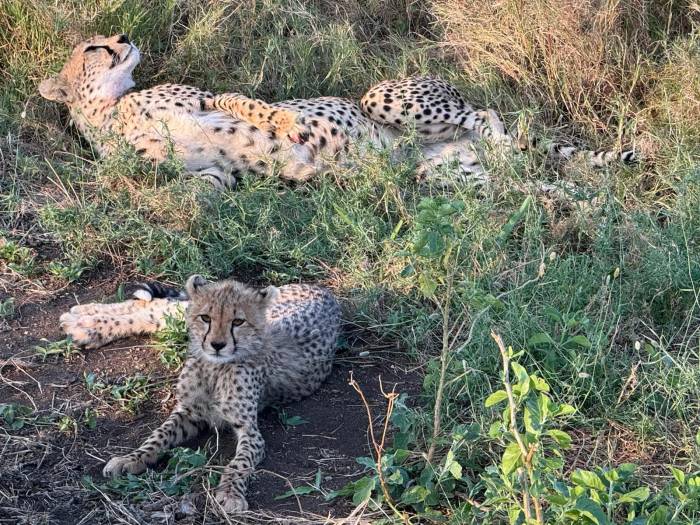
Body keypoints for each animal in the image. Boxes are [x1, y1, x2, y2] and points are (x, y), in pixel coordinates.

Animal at [39, 34, 635, 190]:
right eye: (93, 47)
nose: (124, 37)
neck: (112, 109)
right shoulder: (210, 171)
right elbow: (203, 189)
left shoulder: (205, 99)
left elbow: (245, 104)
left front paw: (287, 125)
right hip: (454, 177)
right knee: (532, 186)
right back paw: (574, 204)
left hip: (387, 99)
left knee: (489, 114)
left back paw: (509, 141)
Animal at [59, 275, 341, 513]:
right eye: (206, 318)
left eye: (238, 322)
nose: (217, 344)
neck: (215, 367)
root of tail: (324, 290)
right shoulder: (187, 411)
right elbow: (157, 436)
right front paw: (131, 458)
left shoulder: (248, 429)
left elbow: (239, 463)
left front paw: (230, 493)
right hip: (186, 312)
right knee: (158, 306)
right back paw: (83, 320)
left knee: (153, 309)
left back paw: (82, 320)